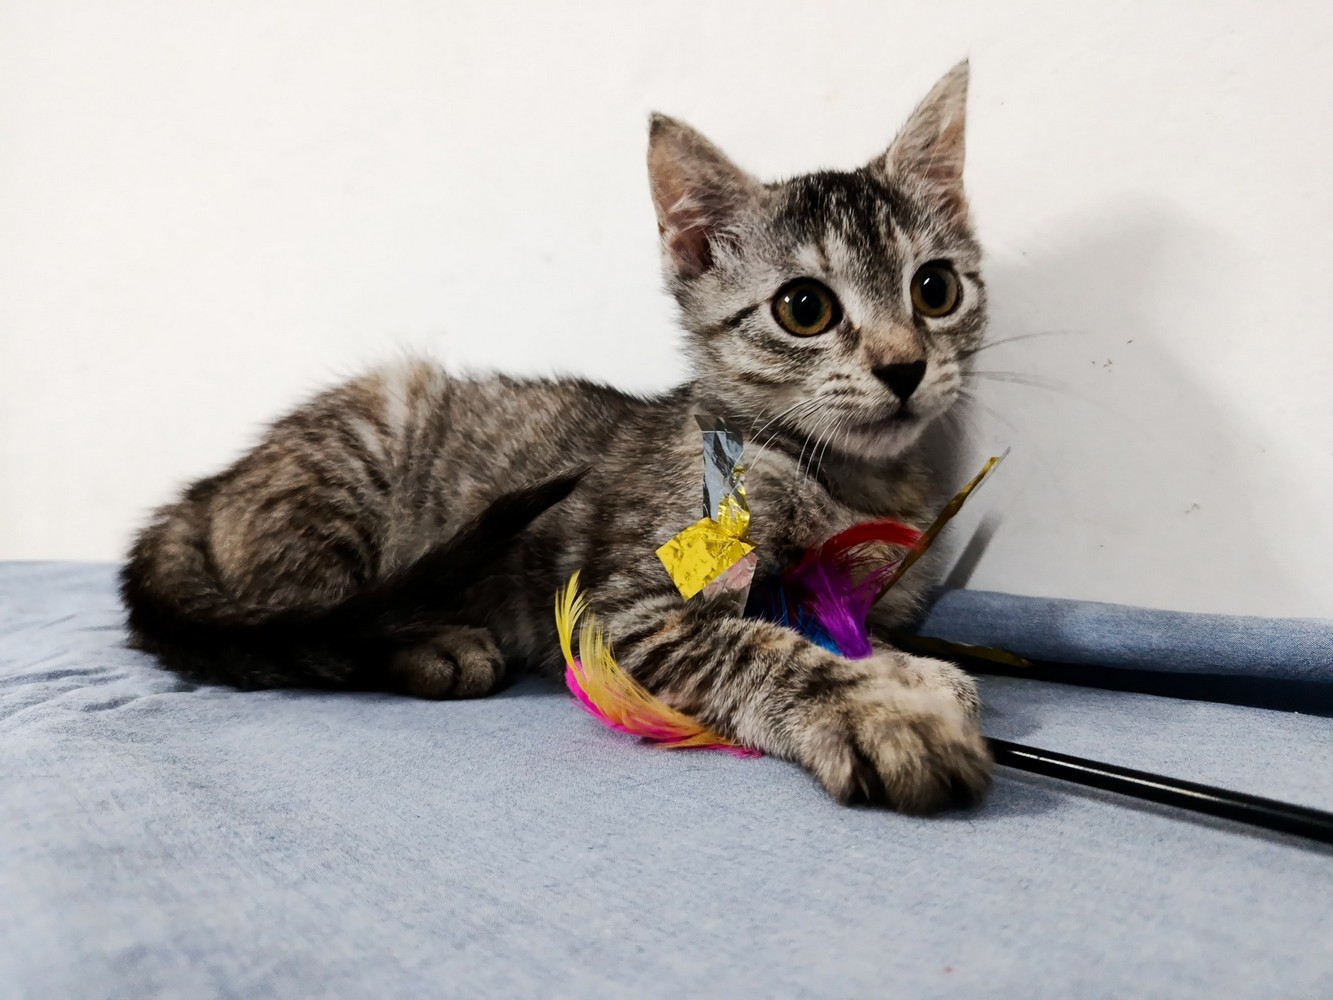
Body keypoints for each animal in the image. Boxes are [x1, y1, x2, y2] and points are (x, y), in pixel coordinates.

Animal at [122, 61, 992, 814]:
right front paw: (879, 712)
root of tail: (205, 492)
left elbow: (851, 632)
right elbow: (762, 648)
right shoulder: (627, 610)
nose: (904, 367)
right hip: (360, 459)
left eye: (934, 289)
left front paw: (913, 672)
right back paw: (433, 646)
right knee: (317, 626)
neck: (850, 481)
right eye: (804, 309)